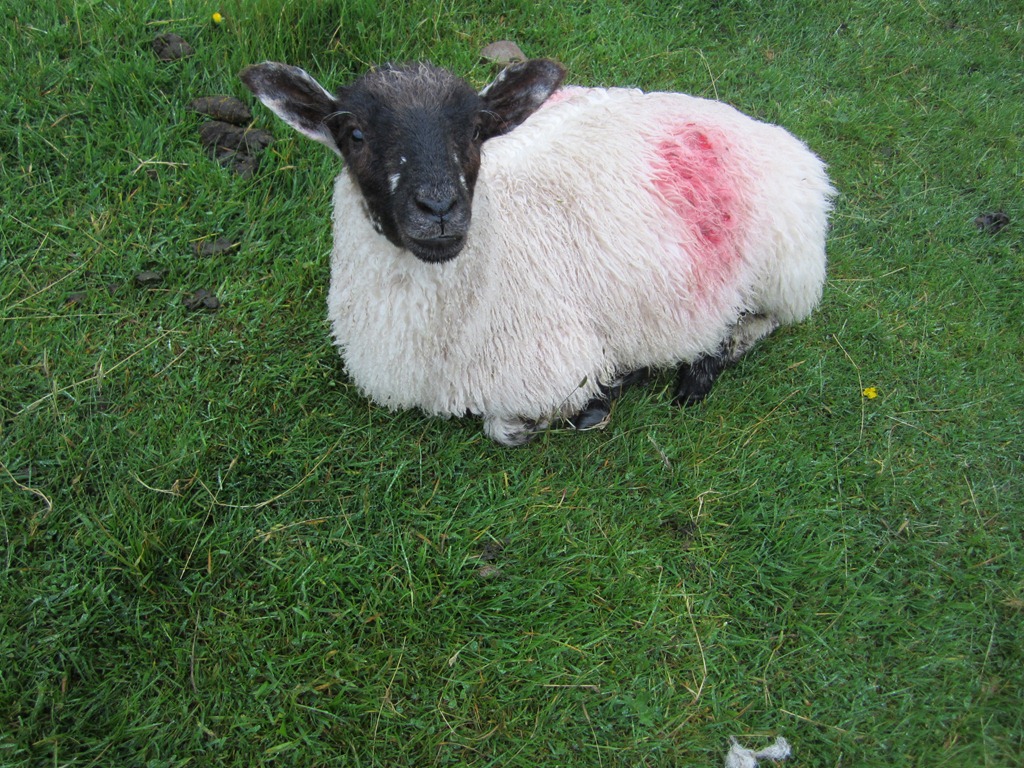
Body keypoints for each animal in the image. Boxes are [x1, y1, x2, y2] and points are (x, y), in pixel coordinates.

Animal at [240, 58, 835, 446]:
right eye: (355, 134)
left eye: (476, 131)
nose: (439, 207)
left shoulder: (555, 370)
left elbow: (509, 426)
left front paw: (610, 393)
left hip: (787, 270)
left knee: (767, 319)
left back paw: (709, 360)